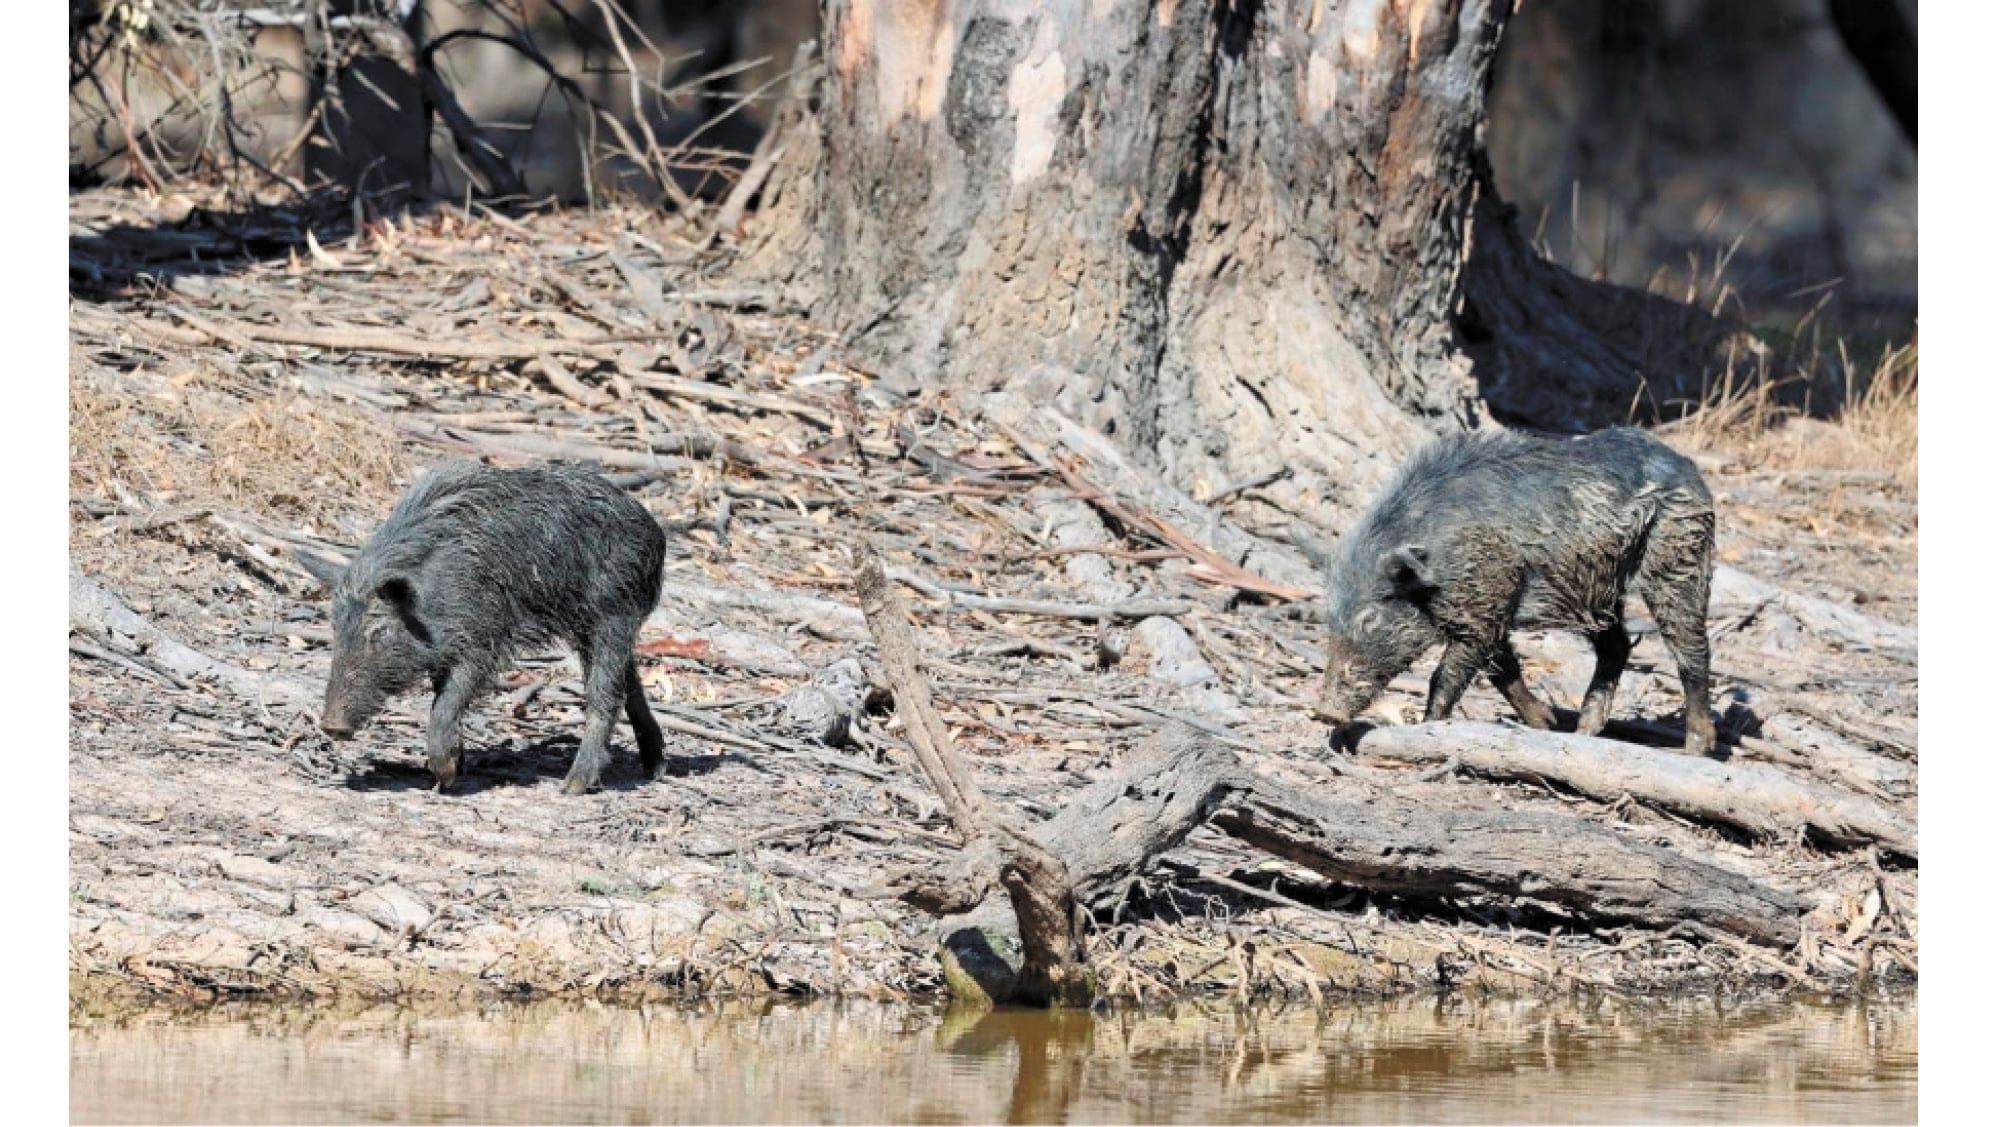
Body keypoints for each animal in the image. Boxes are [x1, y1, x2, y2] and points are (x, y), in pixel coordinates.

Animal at [301, 461, 669, 793]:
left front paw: (446, 778)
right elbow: (441, 697)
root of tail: (654, 530)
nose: (331, 725)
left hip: (614, 613)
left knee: (605, 693)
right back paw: (654, 769)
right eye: (335, 628)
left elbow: (449, 700)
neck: (430, 596)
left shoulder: (482, 637)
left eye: (379, 632)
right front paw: (453, 769)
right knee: (629, 685)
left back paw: (572, 786)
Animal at [1313, 427, 1717, 756]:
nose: (1324, 711)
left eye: (1369, 618)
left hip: (1679, 554)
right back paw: (1583, 733)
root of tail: (1688, 466)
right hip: (1595, 588)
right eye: (1329, 619)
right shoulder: (1493, 606)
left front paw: (1427, 726)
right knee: (1616, 646)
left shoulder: (1484, 603)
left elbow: (1445, 675)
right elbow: (1502, 669)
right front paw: (1545, 724)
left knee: (1692, 649)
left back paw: (1695, 750)